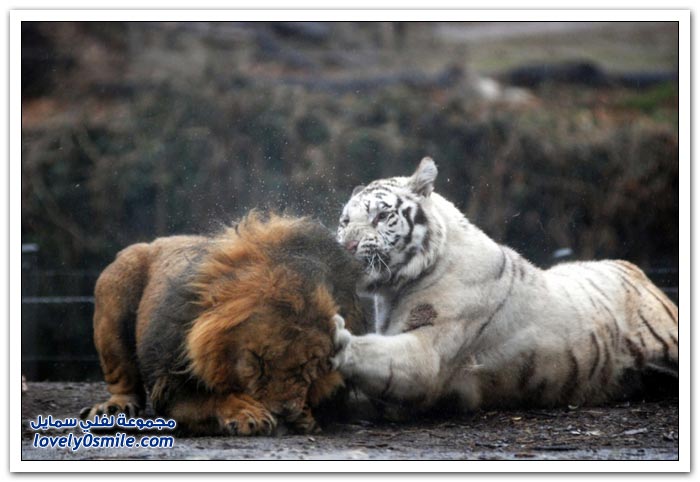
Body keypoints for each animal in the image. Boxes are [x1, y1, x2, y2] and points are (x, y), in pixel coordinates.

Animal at [80, 213, 366, 435]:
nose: (286, 414)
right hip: (116, 281)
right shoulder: (171, 383)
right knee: (123, 380)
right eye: (257, 362)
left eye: (309, 364)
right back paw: (114, 409)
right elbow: (211, 399)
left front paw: (305, 415)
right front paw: (247, 413)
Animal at [332, 157, 678, 419]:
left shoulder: (429, 356)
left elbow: (381, 355)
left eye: (381, 215)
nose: (346, 247)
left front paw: (338, 341)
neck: (396, 289)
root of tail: (637, 270)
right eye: (345, 221)